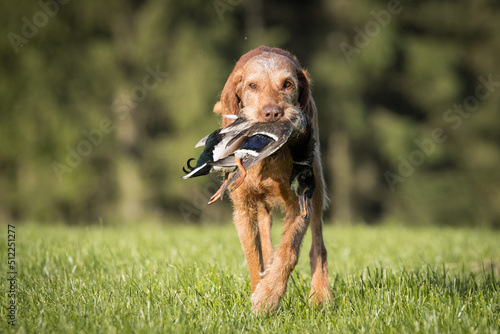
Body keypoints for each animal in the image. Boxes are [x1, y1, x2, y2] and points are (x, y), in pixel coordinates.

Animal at [212, 45, 332, 314]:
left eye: (287, 84)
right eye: (252, 86)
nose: (273, 113)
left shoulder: (300, 203)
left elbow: (289, 251)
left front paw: (268, 296)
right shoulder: (243, 208)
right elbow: (253, 257)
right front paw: (260, 291)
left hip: (316, 185)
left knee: (318, 246)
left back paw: (321, 295)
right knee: (266, 242)